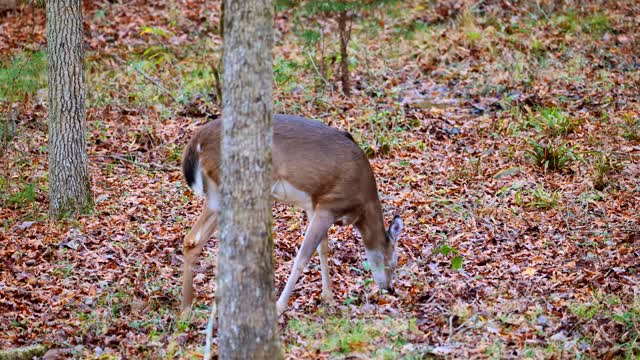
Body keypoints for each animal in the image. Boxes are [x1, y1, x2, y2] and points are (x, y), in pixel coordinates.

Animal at [180, 114, 402, 318]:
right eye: (393, 261)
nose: (389, 288)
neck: (361, 206)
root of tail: (198, 140)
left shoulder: (314, 205)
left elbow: (322, 249)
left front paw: (328, 298)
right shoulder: (331, 204)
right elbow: (303, 257)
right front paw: (279, 307)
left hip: (215, 193)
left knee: (191, 239)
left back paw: (187, 309)